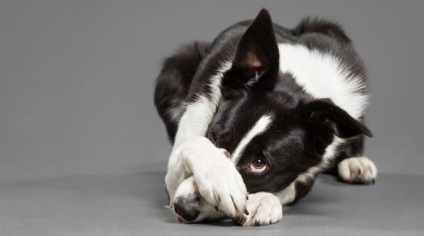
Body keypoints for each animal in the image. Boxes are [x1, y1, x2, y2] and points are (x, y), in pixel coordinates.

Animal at [153, 9, 378, 226]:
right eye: (215, 137)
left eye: (259, 164)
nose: (183, 207)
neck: (301, 79)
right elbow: (193, 143)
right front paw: (223, 180)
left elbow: (291, 187)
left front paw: (263, 200)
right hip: (174, 68)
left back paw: (355, 162)